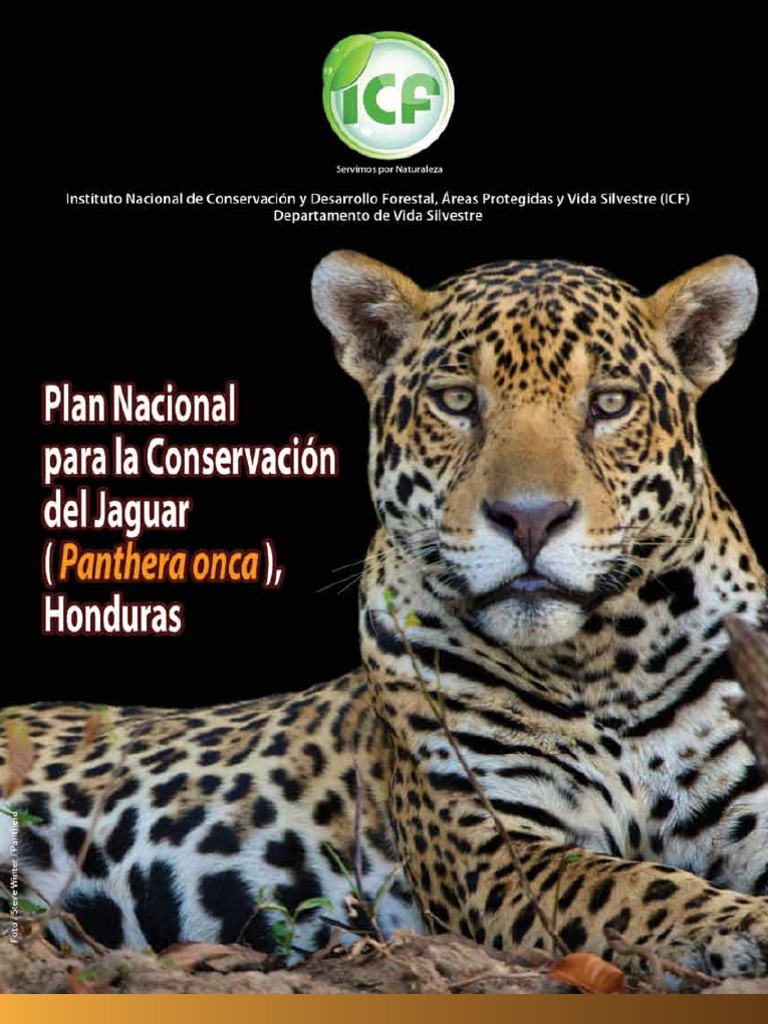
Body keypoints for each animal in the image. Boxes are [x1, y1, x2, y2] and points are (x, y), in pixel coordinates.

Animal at [2, 251, 767, 978]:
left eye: (609, 404)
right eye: (457, 402)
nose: (529, 518)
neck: (602, 662)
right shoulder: (494, 848)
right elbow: (635, 887)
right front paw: (745, 926)